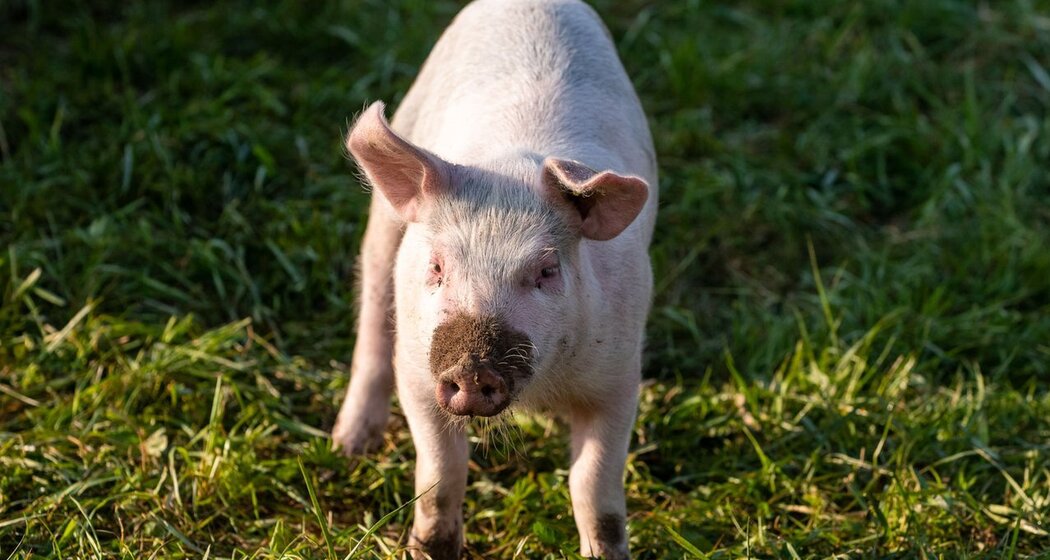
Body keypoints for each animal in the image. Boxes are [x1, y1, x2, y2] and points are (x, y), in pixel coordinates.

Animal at [330, 0, 656, 558]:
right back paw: (349, 447)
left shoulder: (617, 377)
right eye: (437, 267)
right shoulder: (418, 375)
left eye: (546, 271)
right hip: (384, 225)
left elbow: (594, 485)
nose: (472, 368)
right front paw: (427, 548)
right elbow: (442, 472)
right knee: (372, 317)